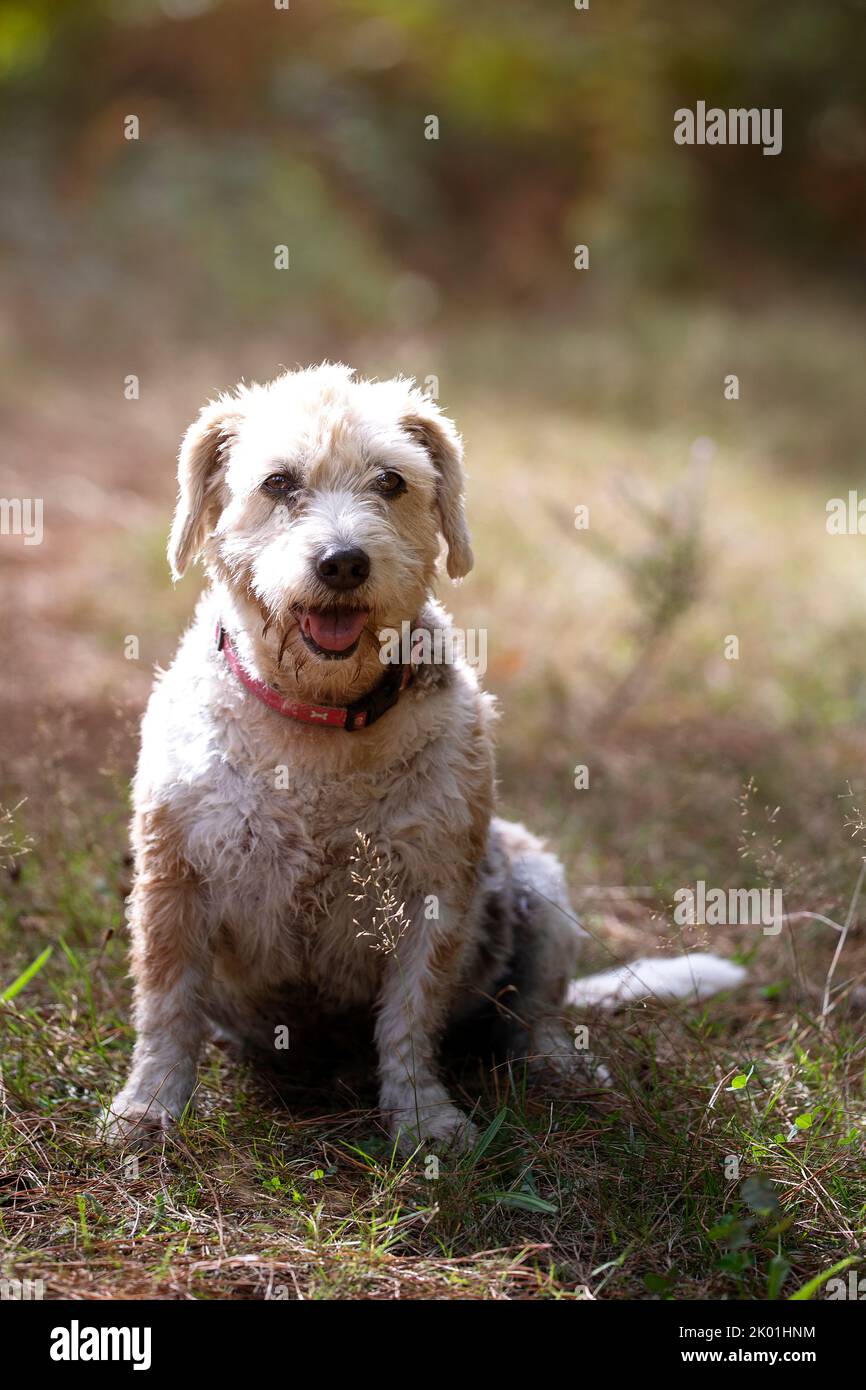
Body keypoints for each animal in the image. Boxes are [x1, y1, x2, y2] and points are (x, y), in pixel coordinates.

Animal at [108, 361, 745, 1150]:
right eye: (279, 483)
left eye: (390, 481)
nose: (344, 562)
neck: (319, 723)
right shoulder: (174, 880)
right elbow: (166, 1009)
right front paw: (149, 1105)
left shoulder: (434, 893)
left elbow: (411, 1020)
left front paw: (423, 1118)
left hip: (540, 889)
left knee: (536, 1016)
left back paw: (563, 1068)